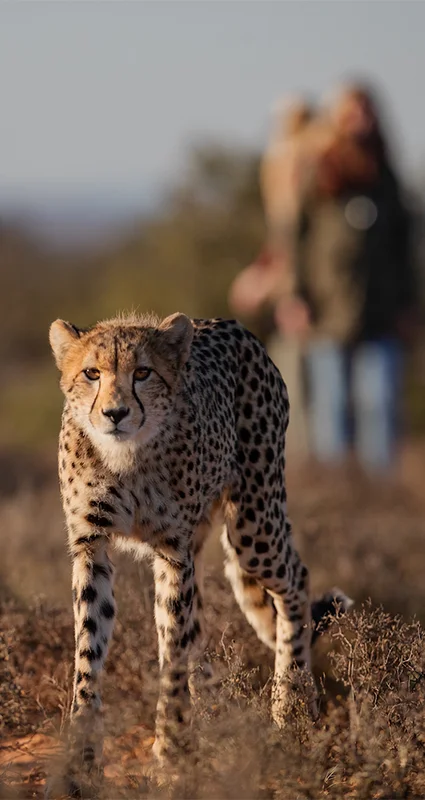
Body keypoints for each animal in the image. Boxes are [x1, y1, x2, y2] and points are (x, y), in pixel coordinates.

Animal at [49, 311, 351, 790]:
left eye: (143, 373)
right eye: (91, 374)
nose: (115, 413)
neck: (126, 456)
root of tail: (231, 324)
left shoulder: (174, 552)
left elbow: (172, 652)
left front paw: (171, 751)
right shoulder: (91, 547)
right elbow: (89, 655)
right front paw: (82, 760)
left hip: (253, 524)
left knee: (295, 580)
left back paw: (290, 706)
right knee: (199, 628)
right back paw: (214, 715)